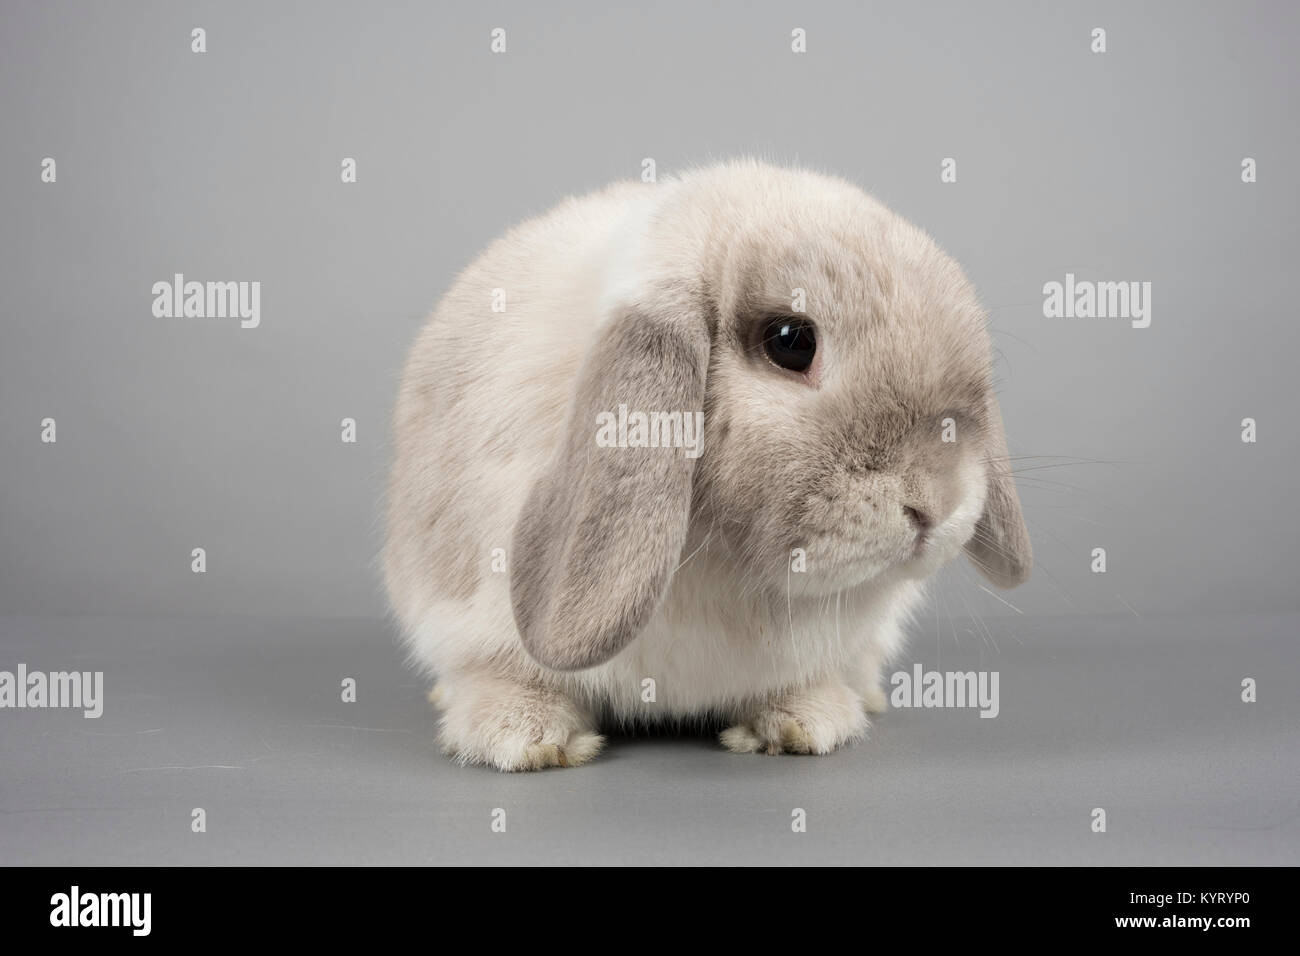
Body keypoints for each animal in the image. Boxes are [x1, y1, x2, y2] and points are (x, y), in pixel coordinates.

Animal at [384, 159, 1031, 771]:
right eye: (790, 340)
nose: (936, 506)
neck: (724, 558)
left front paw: (805, 721)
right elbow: (509, 675)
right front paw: (524, 735)